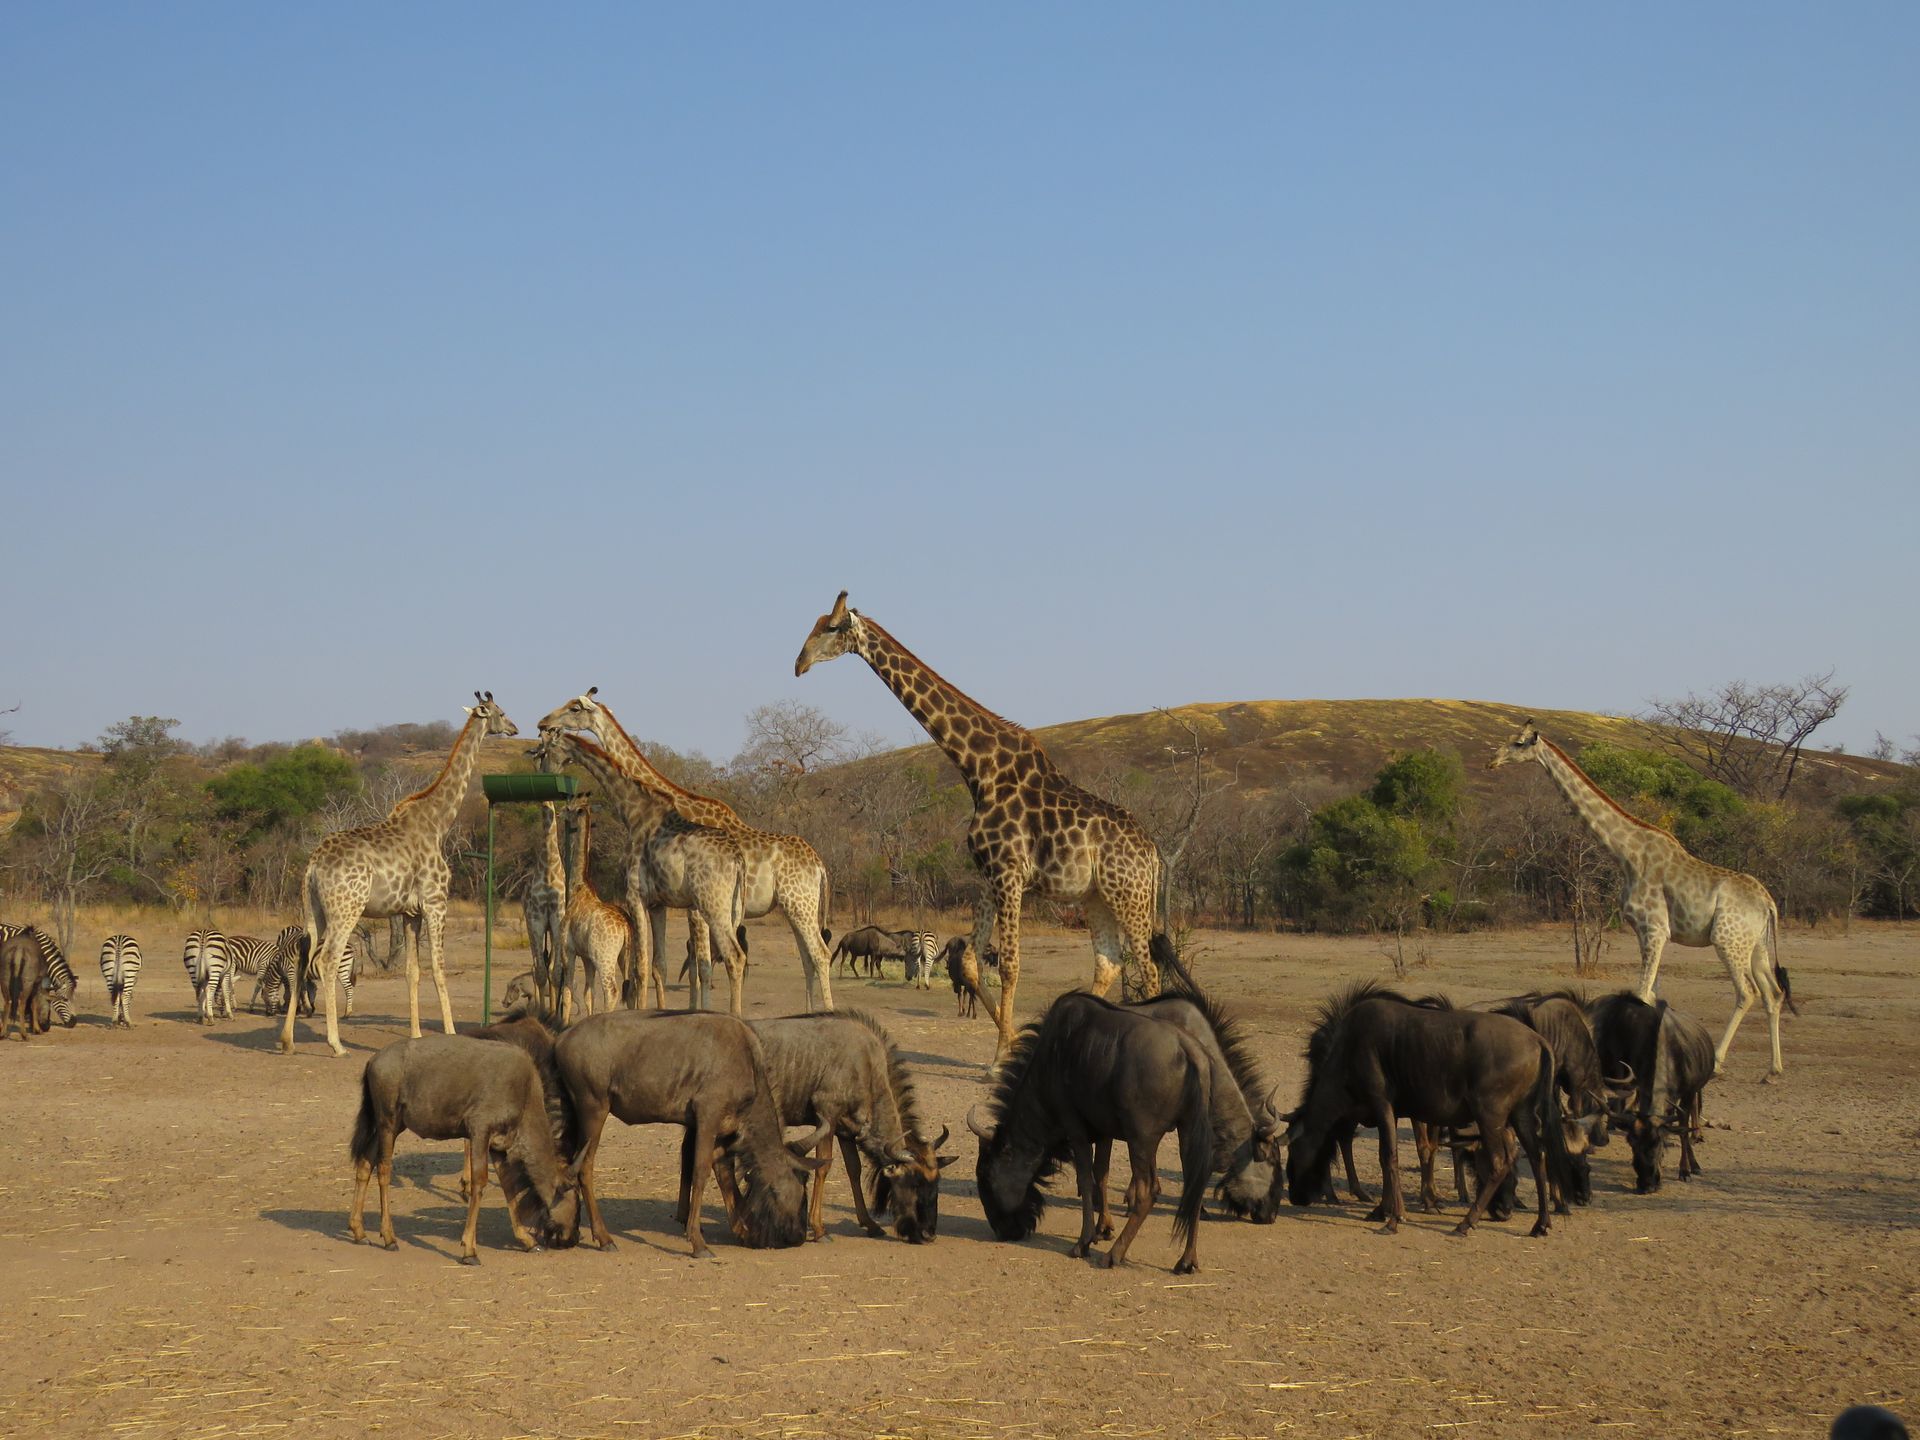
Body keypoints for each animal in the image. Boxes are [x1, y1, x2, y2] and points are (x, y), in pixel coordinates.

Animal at [282, 692, 518, 1057]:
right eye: (501, 713)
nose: (514, 728)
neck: (438, 822)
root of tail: (313, 865)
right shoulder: (436, 902)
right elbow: (438, 969)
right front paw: (451, 1033)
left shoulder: (409, 913)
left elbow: (412, 972)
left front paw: (417, 1035)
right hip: (346, 909)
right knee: (327, 960)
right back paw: (336, 1044)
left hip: (314, 910)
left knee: (302, 957)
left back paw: (288, 1041)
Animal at [557, 799, 635, 1023]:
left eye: (569, 809)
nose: (558, 813)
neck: (578, 886)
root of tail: (626, 927)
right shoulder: (587, 957)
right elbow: (588, 994)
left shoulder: (568, 950)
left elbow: (568, 991)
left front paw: (563, 1023)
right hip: (625, 956)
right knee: (631, 990)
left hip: (605, 956)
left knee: (612, 991)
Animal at [794, 591, 1169, 1064]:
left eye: (830, 627)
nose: (799, 663)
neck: (979, 768)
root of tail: (1153, 854)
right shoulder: (990, 876)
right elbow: (972, 962)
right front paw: (1010, 1044)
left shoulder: (1009, 873)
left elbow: (1009, 964)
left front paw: (997, 1059)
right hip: (1097, 898)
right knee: (1109, 964)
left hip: (1129, 896)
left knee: (1149, 968)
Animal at [1489, 720, 1793, 1077]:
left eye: (1519, 743)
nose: (1492, 761)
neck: (1627, 855)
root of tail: (1768, 903)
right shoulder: (1645, 931)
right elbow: (1651, 996)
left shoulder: (1655, 928)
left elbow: (1642, 993)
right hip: (1756, 945)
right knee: (1773, 993)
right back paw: (1773, 1069)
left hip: (1727, 940)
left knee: (1747, 993)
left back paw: (1718, 1063)